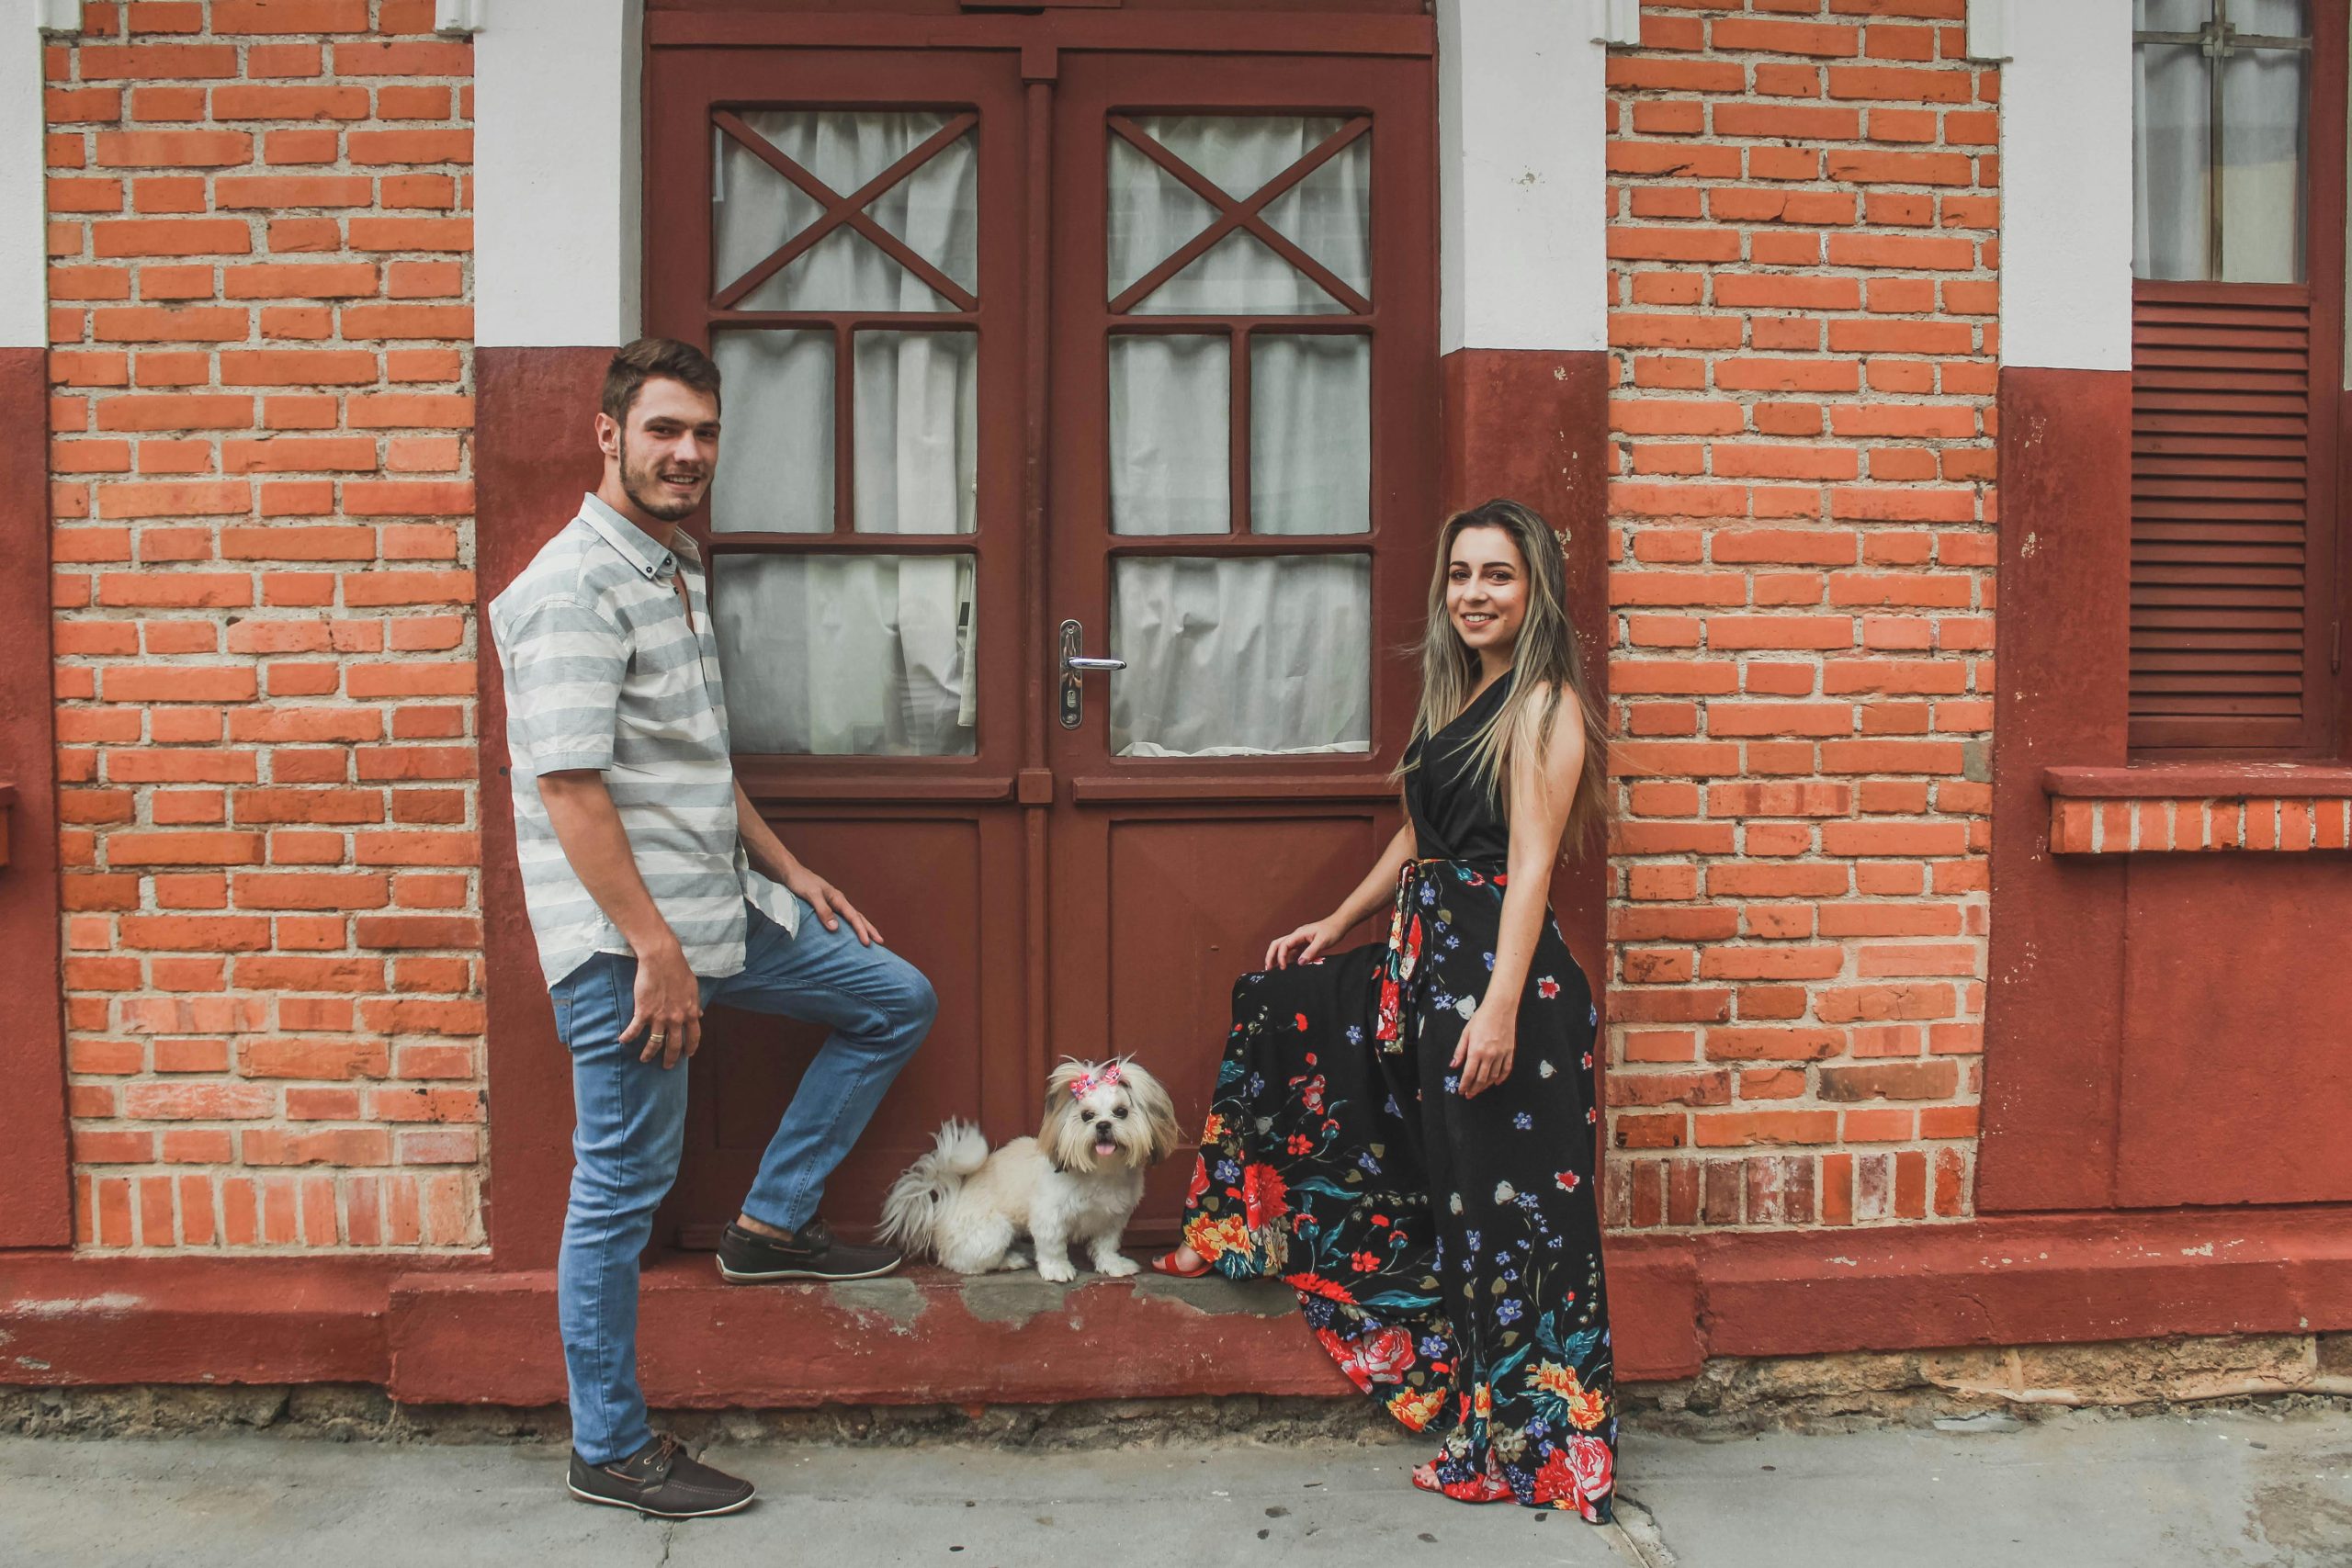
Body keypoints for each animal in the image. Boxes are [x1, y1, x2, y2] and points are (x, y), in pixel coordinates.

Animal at [879, 1062, 1185, 1279]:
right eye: (1086, 1116)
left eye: (1121, 1112)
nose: (1103, 1125)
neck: (1101, 1173)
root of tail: (946, 1206)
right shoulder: (1050, 1216)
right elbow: (1052, 1247)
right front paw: (1058, 1270)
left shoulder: (1113, 1217)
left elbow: (1106, 1244)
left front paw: (1113, 1265)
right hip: (994, 1232)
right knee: (964, 1263)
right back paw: (1009, 1260)